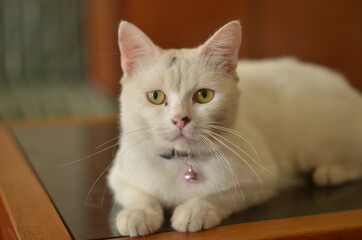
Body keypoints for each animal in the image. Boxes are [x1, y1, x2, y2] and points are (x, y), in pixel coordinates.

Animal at [107, 20, 362, 236]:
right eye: (156, 96)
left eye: (204, 95)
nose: (180, 119)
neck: (182, 160)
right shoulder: (119, 177)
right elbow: (138, 194)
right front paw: (137, 214)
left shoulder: (261, 181)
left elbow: (219, 195)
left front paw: (195, 210)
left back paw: (330, 172)